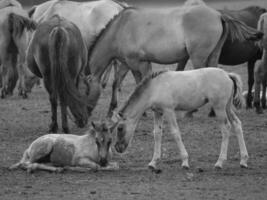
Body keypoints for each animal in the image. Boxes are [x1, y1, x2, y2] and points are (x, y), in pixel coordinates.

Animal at [86, 0, 264, 115]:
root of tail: (218, 15)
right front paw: (111, 109)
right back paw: (212, 111)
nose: (84, 116)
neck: (121, 27)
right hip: (213, 55)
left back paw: (193, 110)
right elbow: (117, 82)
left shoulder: (139, 63)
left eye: (84, 91)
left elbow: (140, 81)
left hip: (198, 57)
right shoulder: (126, 63)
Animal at [106, 67, 249, 172]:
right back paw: (243, 160)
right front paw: (153, 162)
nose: (118, 148)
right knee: (237, 124)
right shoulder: (158, 112)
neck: (155, 88)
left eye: (120, 128)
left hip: (219, 107)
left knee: (226, 128)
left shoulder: (169, 110)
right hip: (227, 107)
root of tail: (228, 75)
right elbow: (157, 134)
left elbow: (175, 133)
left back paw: (219, 162)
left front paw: (185, 161)